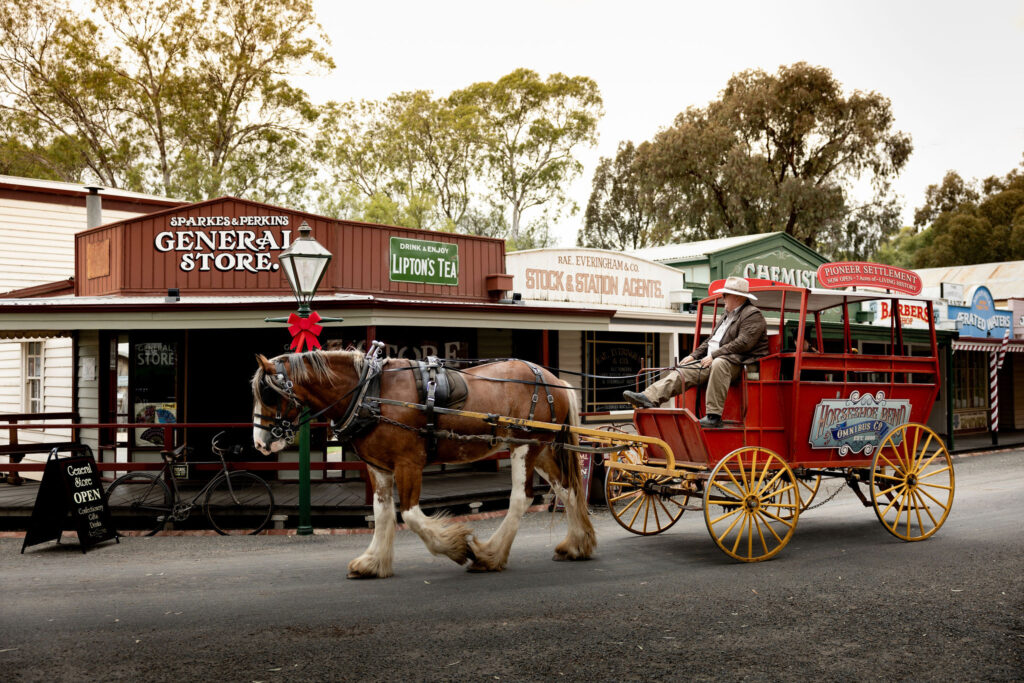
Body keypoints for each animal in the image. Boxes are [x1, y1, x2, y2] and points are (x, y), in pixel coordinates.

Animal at [250, 350, 598, 581]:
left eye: (269, 394)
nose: (260, 443)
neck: (370, 393)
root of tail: (553, 379)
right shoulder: (379, 467)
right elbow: (382, 514)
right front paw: (373, 562)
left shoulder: (408, 463)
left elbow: (411, 516)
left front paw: (456, 547)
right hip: (542, 449)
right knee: (567, 491)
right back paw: (576, 545)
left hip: (524, 446)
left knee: (520, 499)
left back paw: (489, 555)